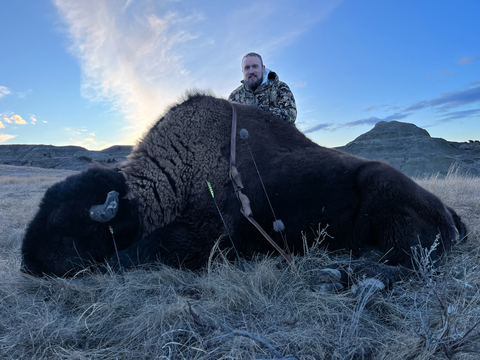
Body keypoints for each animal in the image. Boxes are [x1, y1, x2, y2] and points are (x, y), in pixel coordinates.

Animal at [21, 93, 464, 278]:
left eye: (68, 235)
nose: (27, 265)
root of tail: (448, 213)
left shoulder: (206, 241)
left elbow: (138, 253)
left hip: (383, 193)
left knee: (406, 265)